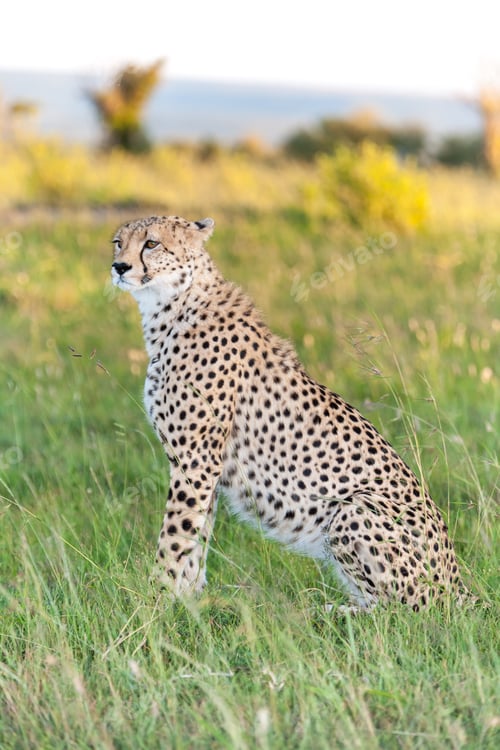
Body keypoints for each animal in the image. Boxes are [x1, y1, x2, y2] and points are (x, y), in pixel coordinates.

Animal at [111, 214, 469, 611]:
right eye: (118, 242)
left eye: (152, 243)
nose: (119, 266)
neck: (173, 305)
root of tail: (459, 584)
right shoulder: (206, 466)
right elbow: (197, 537)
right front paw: (189, 600)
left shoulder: (196, 459)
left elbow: (175, 536)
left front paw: (155, 599)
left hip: (352, 509)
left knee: (401, 611)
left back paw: (329, 611)